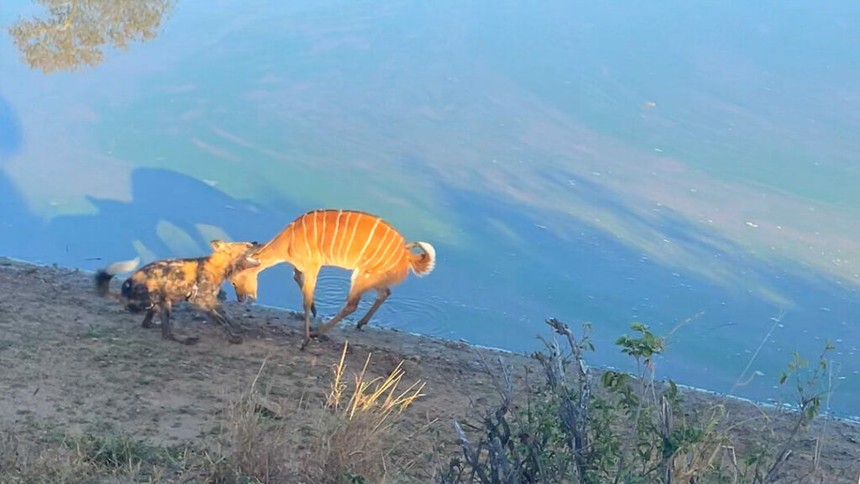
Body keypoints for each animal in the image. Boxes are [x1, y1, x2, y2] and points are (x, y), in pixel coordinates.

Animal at [94, 238, 260, 344]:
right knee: (166, 334)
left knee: (148, 324)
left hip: (158, 305)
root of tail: (125, 290)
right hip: (164, 301)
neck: (217, 268)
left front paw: (238, 328)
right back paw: (185, 339)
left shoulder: (211, 300)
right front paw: (233, 337)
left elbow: (226, 315)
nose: (256, 242)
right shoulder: (200, 301)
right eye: (247, 245)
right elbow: (221, 321)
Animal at [228, 208, 436, 348]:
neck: (288, 242)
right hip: (374, 276)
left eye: (234, 280)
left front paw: (305, 340)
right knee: (385, 292)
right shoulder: (300, 266)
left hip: (362, 275)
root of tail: (407, 255)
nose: (240, 299)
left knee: (352, 304)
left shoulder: (313, 265)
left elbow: (306, 298)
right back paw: (360, 323)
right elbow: (297, 279)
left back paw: (316, 332)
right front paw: (315, 311)